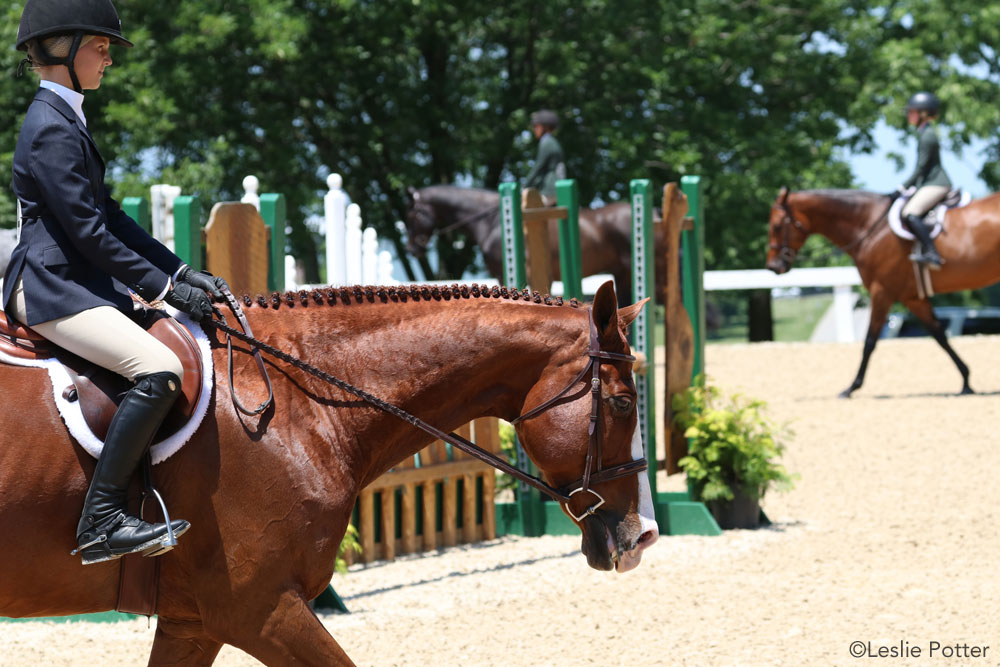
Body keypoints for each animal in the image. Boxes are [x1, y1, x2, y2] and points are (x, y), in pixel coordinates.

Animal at [764, 188, 1000, 396]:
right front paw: (966, 380)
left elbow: (869, 341)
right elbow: (939, 335)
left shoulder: (882, 291)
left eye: (776, 226)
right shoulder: (912, 297)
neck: (870, 228)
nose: (773, 266)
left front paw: (851, 387)